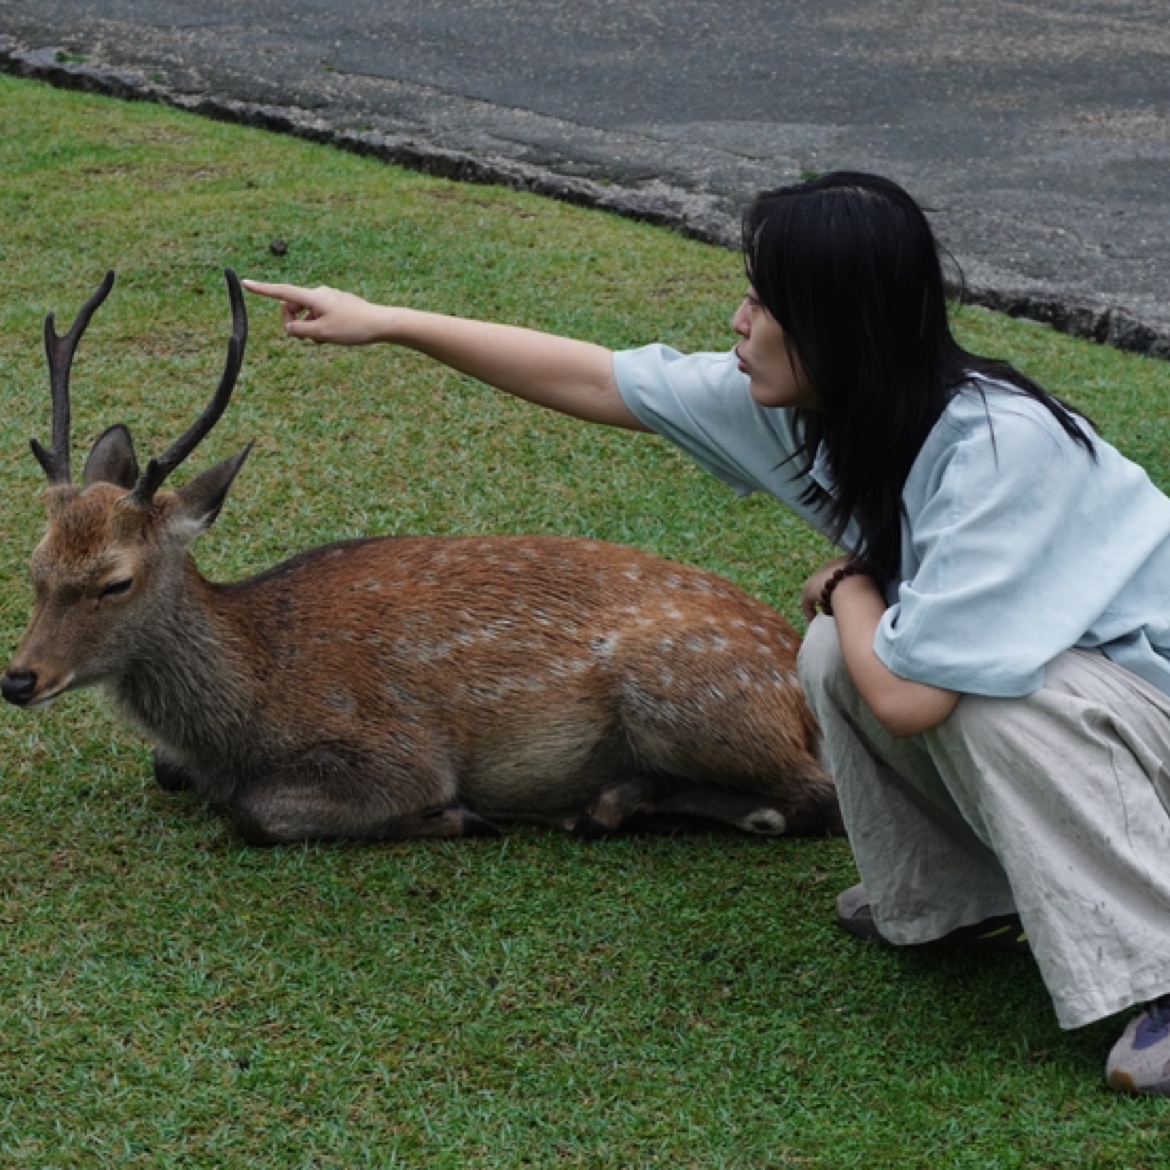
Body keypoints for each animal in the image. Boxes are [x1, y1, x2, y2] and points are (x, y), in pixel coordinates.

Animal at [2, 269, 842, 847]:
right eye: (34, 566)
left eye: (115, 581)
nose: (19, 678)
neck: (247, 702)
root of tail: (793, 675)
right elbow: (165, 767)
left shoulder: (397, 752)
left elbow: (255, 812)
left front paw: (460, 816)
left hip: (684, 693)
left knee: (815, 797)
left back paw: (606, 803)